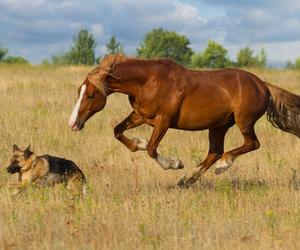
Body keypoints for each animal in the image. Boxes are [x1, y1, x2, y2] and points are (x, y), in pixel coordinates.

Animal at [68, 54, 300, 188]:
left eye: (91, 95)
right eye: (79, 91)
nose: (73, 124)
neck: (147, 81)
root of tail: (264, 85)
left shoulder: (164, 120)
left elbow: (152, 149)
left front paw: (175, 163)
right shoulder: (141, 116)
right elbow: (118, 131)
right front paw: (138, 143)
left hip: (243, 121)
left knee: (251, 144)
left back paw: (222, 166)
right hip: (219, 125)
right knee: (214, 152)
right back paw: (187, 180)